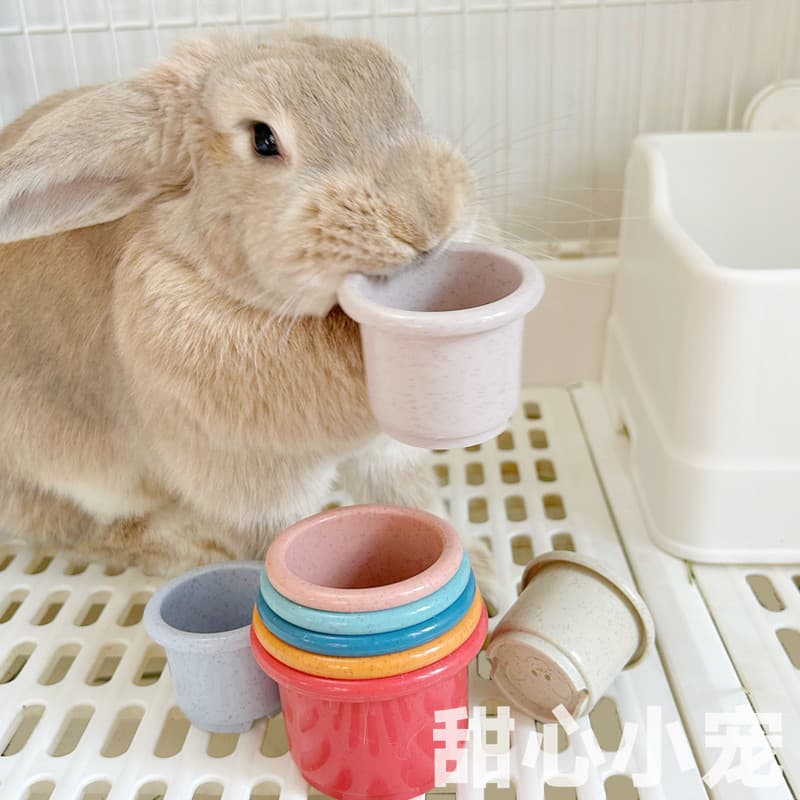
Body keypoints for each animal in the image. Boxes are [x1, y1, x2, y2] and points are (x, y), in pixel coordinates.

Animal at [0, 29, 500, 610]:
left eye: (400, 85)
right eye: (263, 139)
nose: (431, 219)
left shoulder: (387, 453)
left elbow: (416, 499)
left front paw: (487, 577)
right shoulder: (254, 489)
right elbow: (281, 543)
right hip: (70, 467)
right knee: (78, 527)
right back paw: (194, 545)